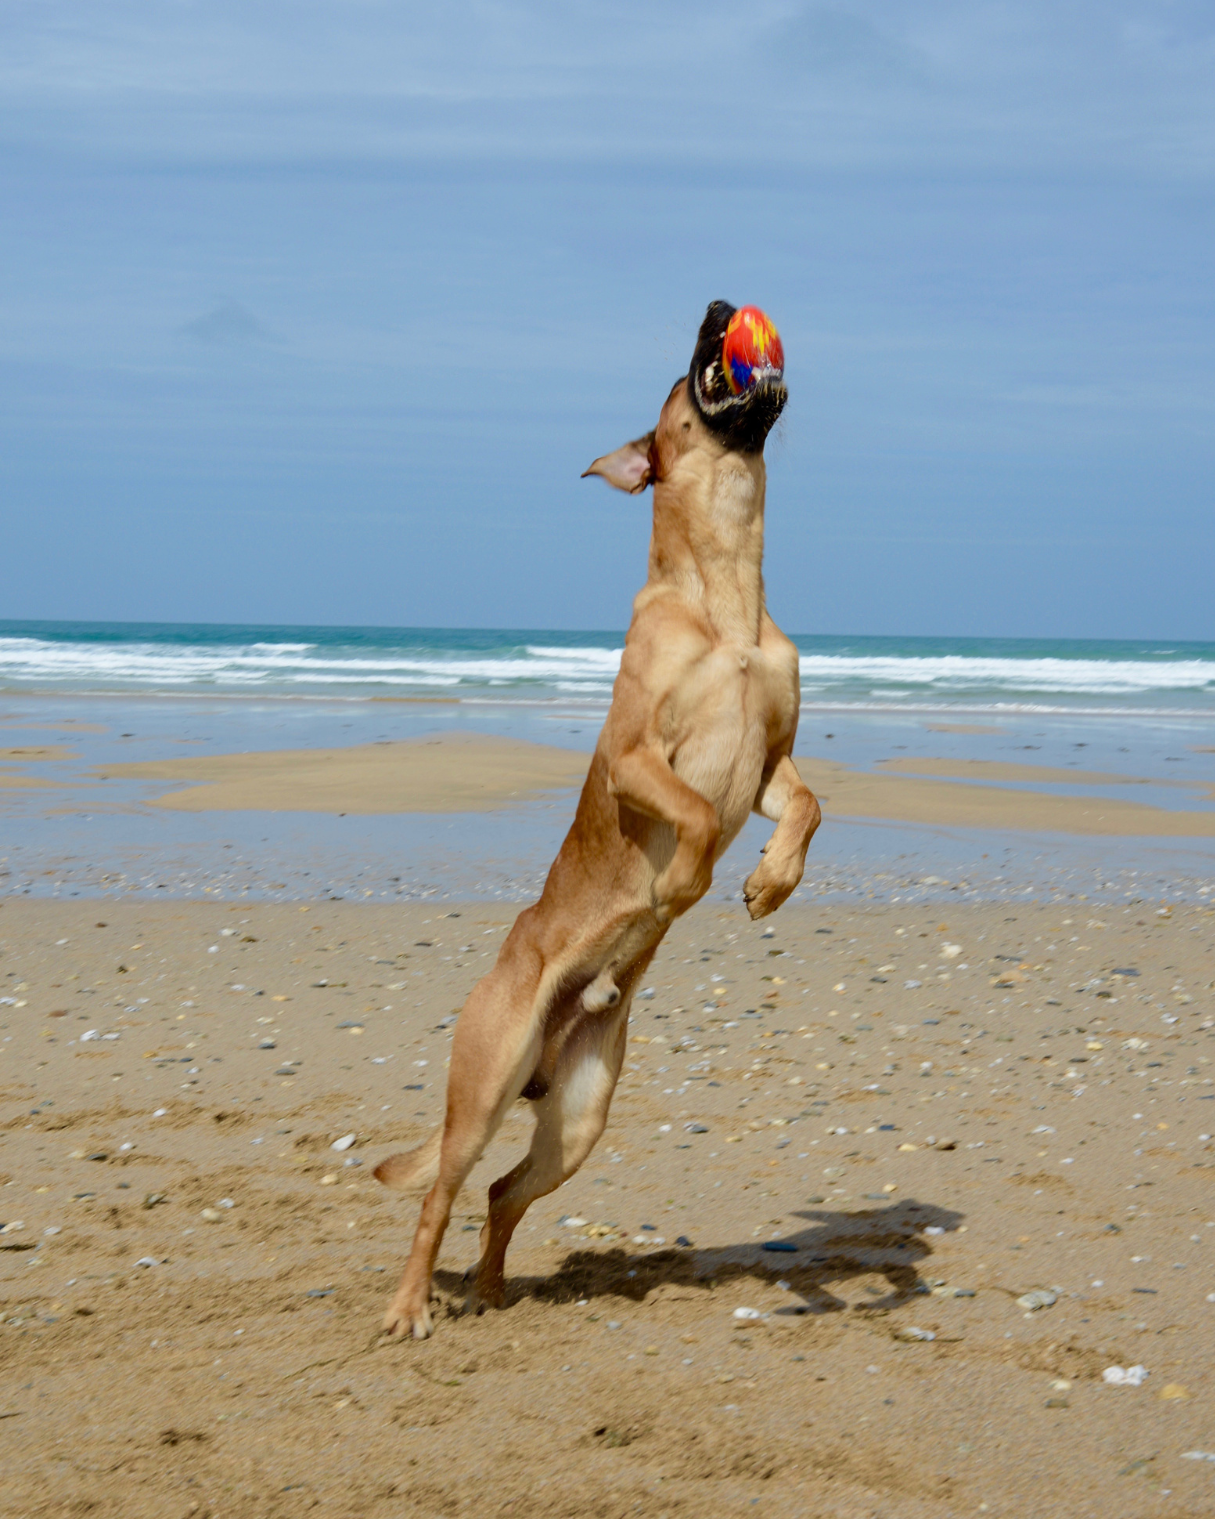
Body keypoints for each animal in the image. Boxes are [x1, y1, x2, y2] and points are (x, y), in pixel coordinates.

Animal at [375, 299, 820, 1342]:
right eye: (680, 366)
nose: (718, 305)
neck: (726, 594)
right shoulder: (635, 759)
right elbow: (692, 813)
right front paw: (689, 881)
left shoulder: (771, 764)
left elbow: (811, 805)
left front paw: (770, 881)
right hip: (486, 1083)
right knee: (440, 1193)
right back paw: (411, 1305)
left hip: (577, 1117)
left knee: (500, 1193)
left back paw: (493, 1290)